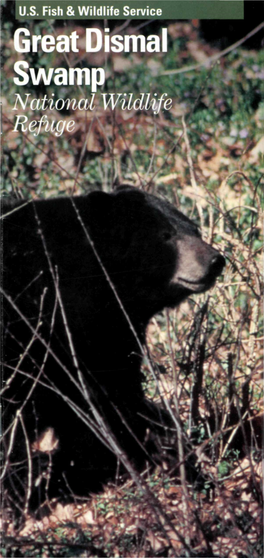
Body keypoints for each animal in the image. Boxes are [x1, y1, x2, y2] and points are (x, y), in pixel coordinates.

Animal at [1, 188, 225, 516]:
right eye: (166, 235)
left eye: (193, 228)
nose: (215, 260)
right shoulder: (55, 333)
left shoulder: (108, 330)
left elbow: (116, 397)